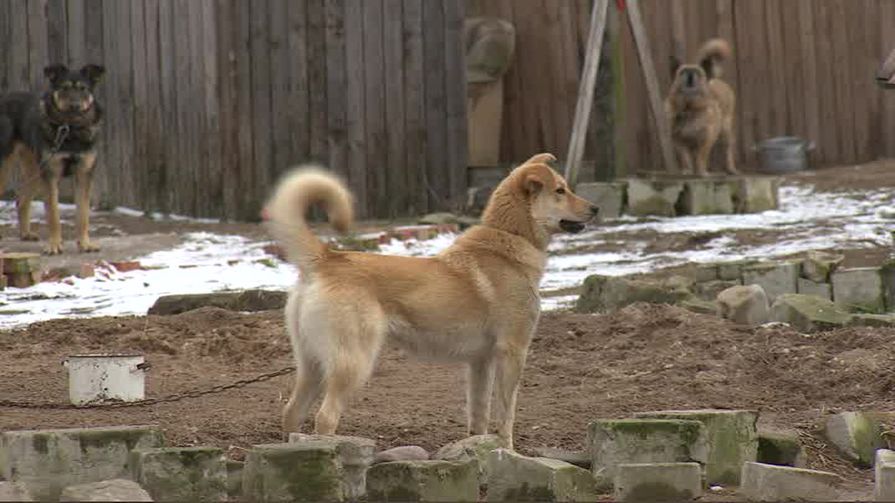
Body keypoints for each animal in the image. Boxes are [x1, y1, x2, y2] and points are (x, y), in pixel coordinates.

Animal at [0, 65, 105, 256]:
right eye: (64, 88)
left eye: (83, 89)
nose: (75, 106)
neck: (70, 130)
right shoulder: (50, 175)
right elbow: (53, 214)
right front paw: (54, 245)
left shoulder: (84, 174)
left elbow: (83, 214)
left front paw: (85, 244)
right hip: (6, 168)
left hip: (34, 169)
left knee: (21, 200)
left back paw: (26, 233)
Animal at [266, 154, 600, 448]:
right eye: (560, 190)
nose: (596, 208)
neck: (509, 239)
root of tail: (326, 258)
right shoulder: (513, 352)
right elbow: (506, 415)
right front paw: (508, 451)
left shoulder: (480, 362)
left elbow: (479, 414)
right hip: (353, 363)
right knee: (325, 418)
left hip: (312, 365)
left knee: (291, 413)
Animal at [668, 38, 740, 175]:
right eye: (683, 71)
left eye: (697, 72)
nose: (690, 74)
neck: (689, 108)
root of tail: (715, 79)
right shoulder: (679, 140)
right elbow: (685, 158)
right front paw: (687, 170)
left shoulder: (706, 139)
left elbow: (701, 157)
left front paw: (702, 171)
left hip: (725, 132)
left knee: (727, 150)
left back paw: (731, 168)